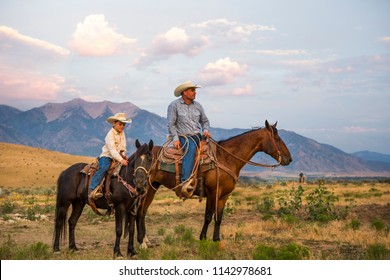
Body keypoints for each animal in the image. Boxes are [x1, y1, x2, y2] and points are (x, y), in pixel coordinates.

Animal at [134, 119, 292, 246]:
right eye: (277, 138)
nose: (289, 159)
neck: (226, 158)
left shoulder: (223, 195)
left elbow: (219, 217)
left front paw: (216, 240)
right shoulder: (212, 193)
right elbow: (208, 216)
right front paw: (203, 238)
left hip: (153, 187)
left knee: (143, 212)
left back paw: (146, 241)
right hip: (145, 189)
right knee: (139, 212)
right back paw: (142, 243)